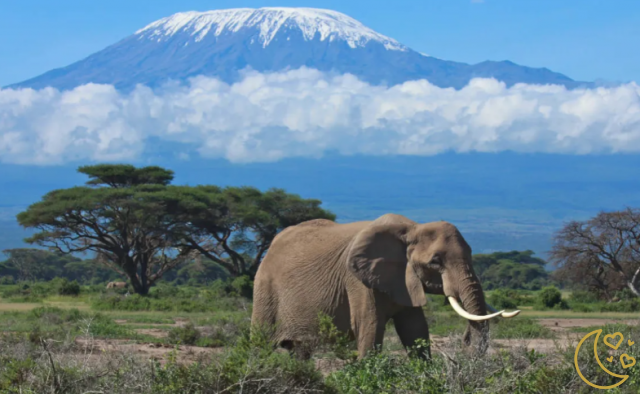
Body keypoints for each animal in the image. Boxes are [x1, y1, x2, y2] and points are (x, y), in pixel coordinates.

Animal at [250, 214, 520, 358]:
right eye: (436, 261)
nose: (464, 341)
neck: (411, 229)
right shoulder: (357, 281)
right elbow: (369, 328)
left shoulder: (404, 279)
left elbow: (415, 330)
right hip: (264, 289)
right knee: (261, 344)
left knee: (298, 351)